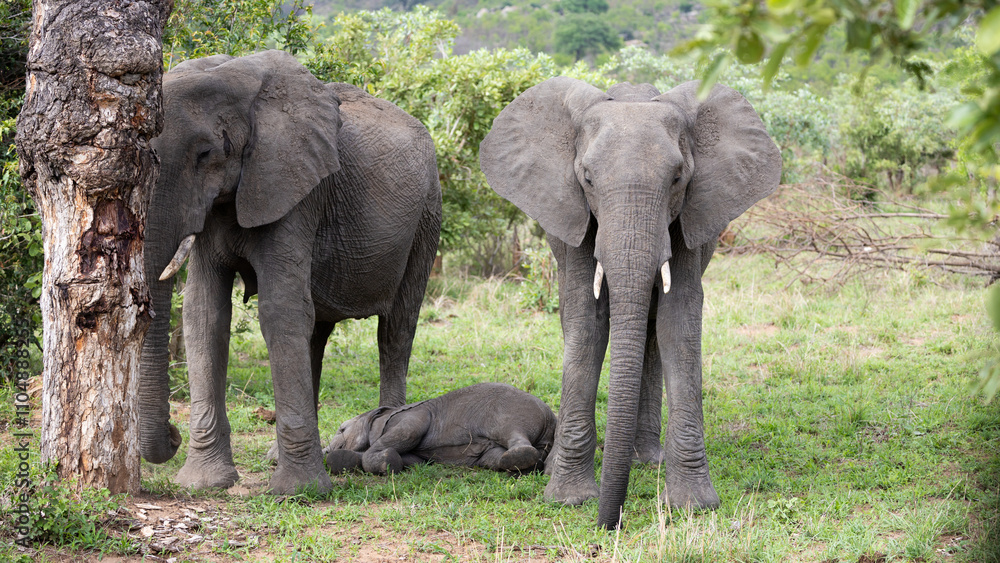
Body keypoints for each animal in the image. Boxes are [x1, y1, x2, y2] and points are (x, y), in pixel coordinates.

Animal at [139, 50, 442, 495]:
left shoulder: (296, 189)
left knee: (396, 331)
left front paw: (298, 492)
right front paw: (205, 484)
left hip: (427, 215)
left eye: (206, 154)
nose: (173, 436)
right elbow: (204, 314)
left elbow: (279, 309)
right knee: (315, 332)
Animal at [323, 382, 557, 475]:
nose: (324, 450)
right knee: (492, 457)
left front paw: (386, 463)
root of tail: (551, 419)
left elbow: (408, 433)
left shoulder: (411, 416)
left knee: (511, 434)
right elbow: (412, 460)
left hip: (509, 413)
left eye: (341, 429)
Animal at [479, 78, 781, 528]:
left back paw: (647, 461)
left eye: (678, 178)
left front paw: (693, 506)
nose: (612, 522)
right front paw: (568, 499)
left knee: (652, 332)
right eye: (587, 178)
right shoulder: (579, 218)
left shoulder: (689, 217)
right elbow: (587, 323)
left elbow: (679, 323)